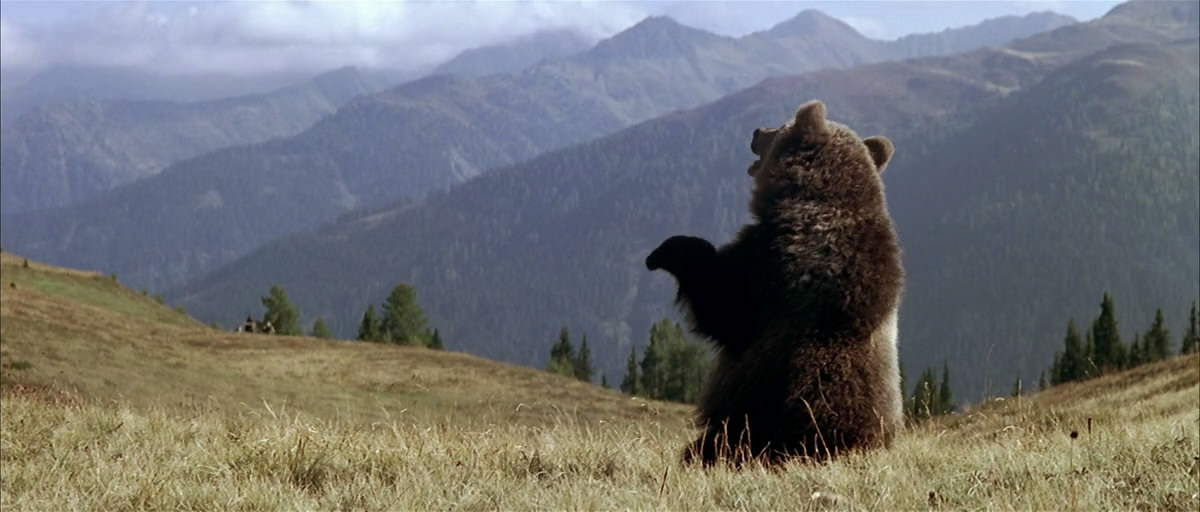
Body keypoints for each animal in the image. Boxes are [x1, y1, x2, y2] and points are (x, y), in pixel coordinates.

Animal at [645, 99, 904, 469]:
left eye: (780, 126)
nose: (756, 131)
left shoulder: (772, 261)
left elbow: (723, 304)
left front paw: (668, 251)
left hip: (757, 418)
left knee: (714, 444)